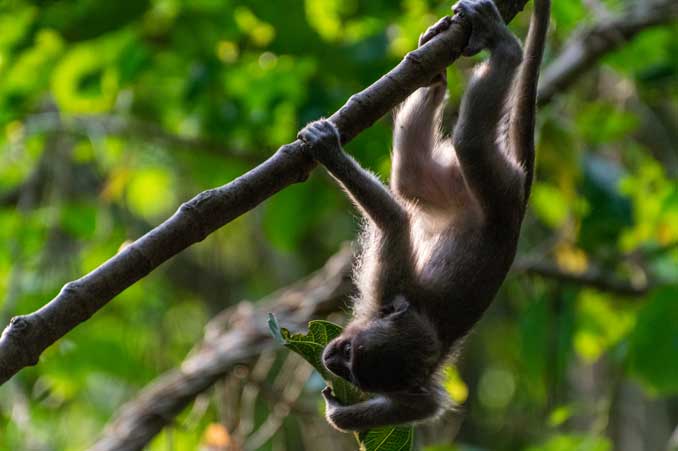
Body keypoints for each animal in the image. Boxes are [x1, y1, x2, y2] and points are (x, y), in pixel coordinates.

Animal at [298, 0, 552, 432]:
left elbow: (394, 219)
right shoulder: (390, 289)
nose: (330, 360)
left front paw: (340, 415)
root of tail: (518, 207)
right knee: (431, 164)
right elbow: (397, 217)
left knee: (455, 151)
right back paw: (443, 70)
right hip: (478, 192)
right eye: (346, 356)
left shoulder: (391, 295)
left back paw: (504, 51)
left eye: (353, 369)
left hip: (485, 192)